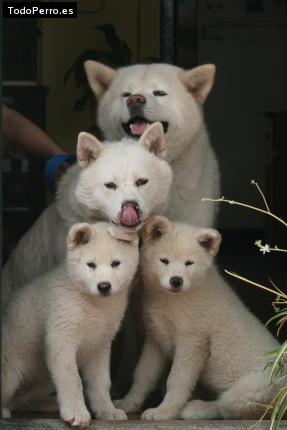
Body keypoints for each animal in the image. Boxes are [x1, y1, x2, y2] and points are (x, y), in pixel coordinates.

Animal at [1, 223, 140, 424]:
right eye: (91, 264)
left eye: (115, 263)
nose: (104, 286)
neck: (95, 305)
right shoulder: (61, 338)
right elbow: (72, 379)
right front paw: (77, 413)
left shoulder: (99, 346)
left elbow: (101, 382)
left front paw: (107, 411)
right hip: (10, 373)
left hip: (44, 379)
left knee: (21, 400)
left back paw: (49, 404)